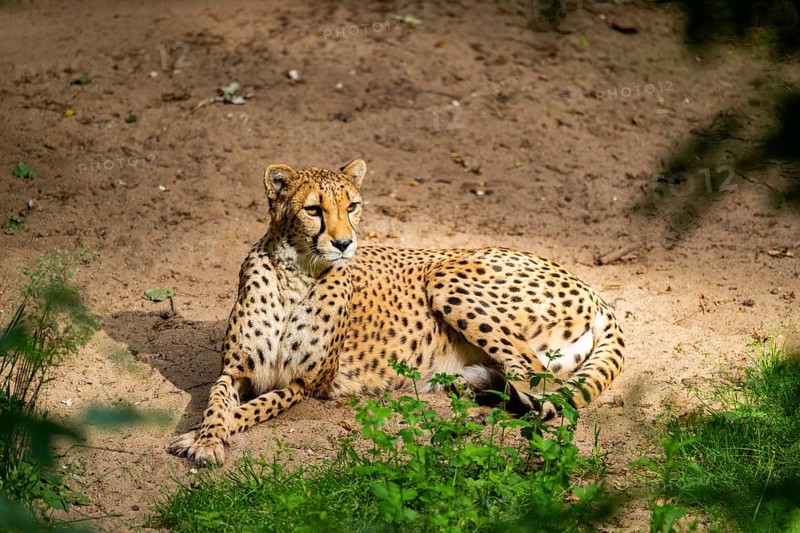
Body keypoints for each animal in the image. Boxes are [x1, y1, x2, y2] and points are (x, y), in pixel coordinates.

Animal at [169, 159, 625, 465]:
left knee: (542, 390)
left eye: (352, 206)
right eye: (313, 210)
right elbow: (217, 403)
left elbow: (248, 409)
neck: (295, 273)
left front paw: (200, 439)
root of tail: (591, 287)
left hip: (445, 277)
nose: (343, 243)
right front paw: (205, 437)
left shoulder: (304, 384)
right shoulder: (234, 370)